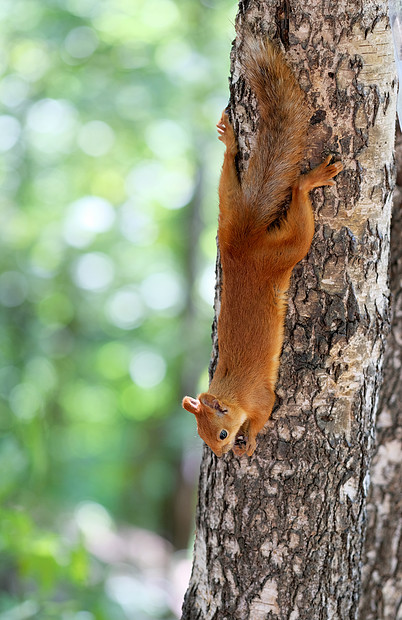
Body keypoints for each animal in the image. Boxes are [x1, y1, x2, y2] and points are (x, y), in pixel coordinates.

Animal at [182, 36, 342, 458]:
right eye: (201, 436)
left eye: (221, 434)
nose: (222, 456)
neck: (232, 393)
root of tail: (242, 244)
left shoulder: (261, 398)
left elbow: (264, 415)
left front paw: (249, 443)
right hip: (229, 210)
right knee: (229, 175)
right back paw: (228, 142)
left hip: (284, 253)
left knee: (299, 216)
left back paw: (310, 180)